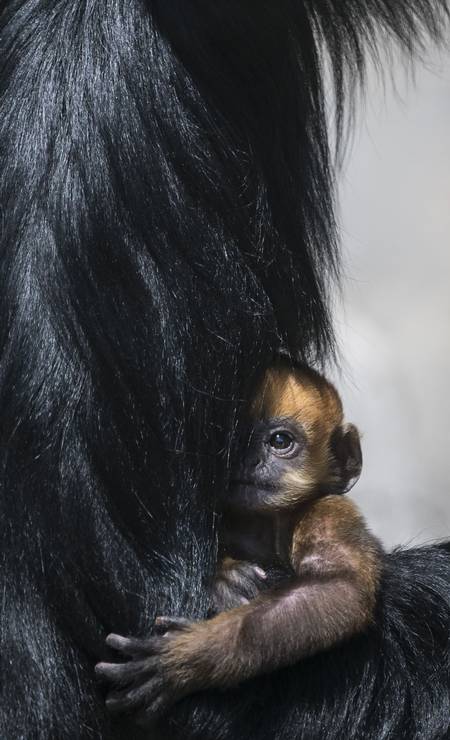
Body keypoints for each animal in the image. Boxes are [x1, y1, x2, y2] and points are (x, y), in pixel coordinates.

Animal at [96, 362, 382, 724]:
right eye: (233, 438)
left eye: (279, 441)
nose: (249, 460)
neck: (262, 526)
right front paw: (225, 578)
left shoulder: (327, 513)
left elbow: (338, 586)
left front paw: (189, 658)